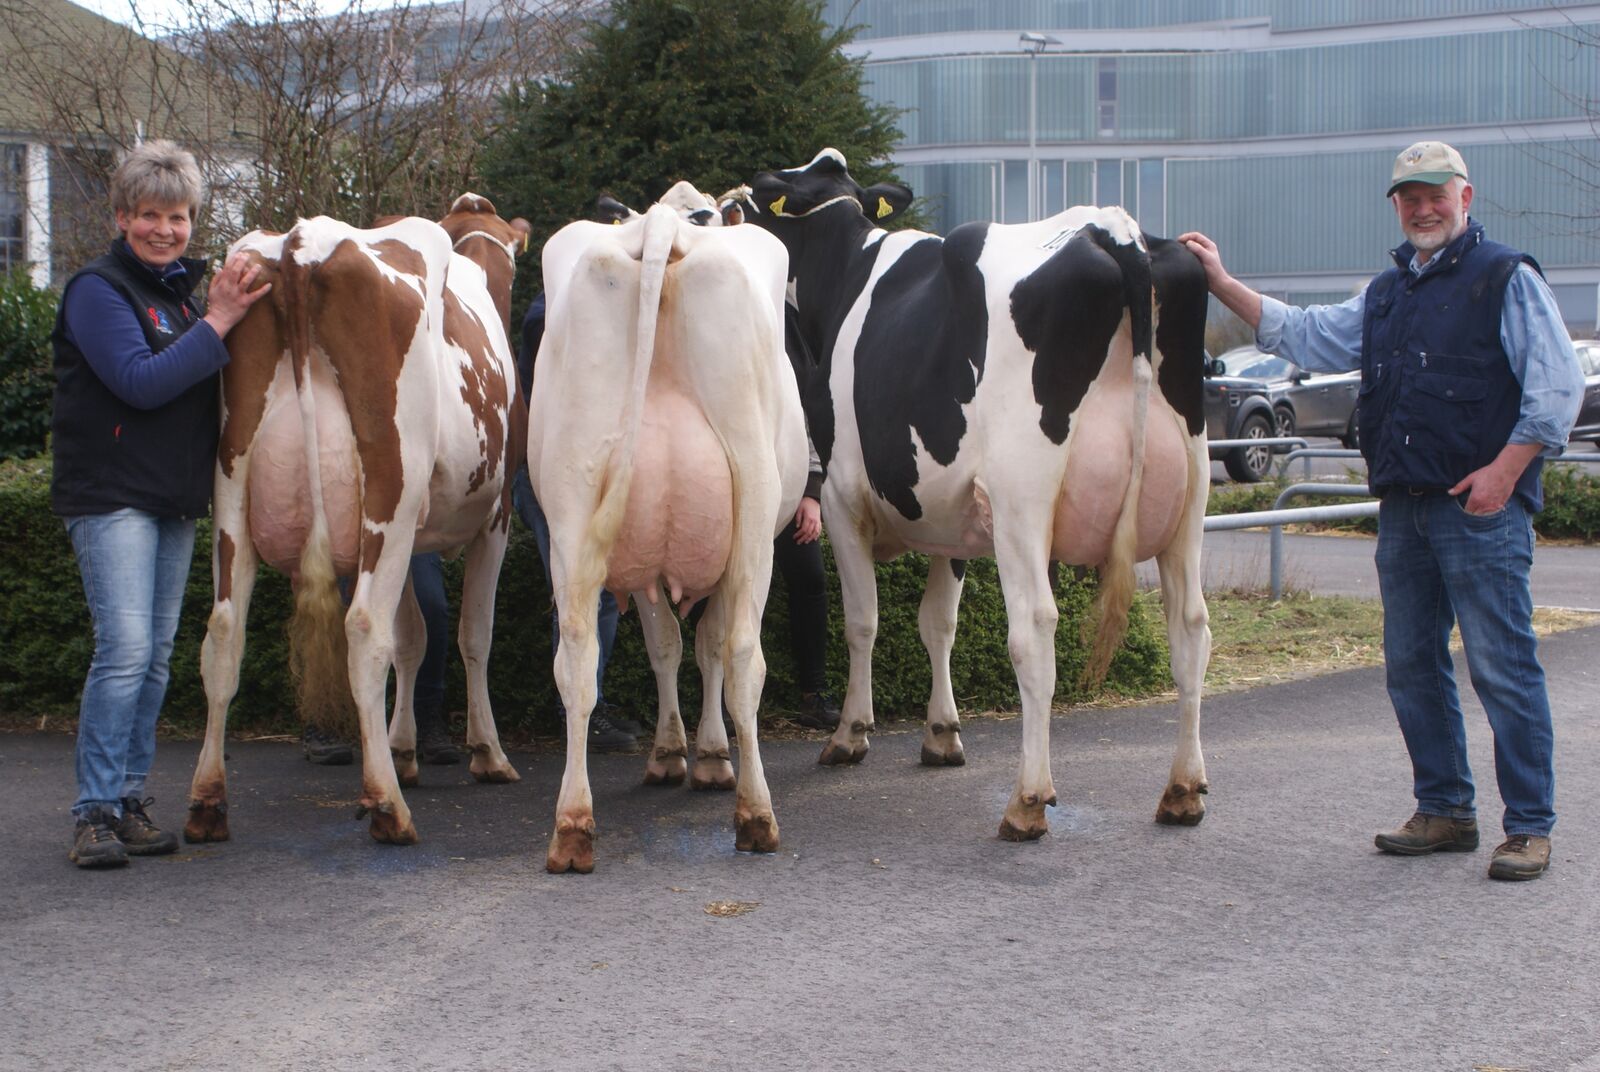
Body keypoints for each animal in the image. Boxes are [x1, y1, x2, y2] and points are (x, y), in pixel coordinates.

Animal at [186, 193, 524, 851]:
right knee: (365, 628)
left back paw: (208, 802)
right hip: (389, 488)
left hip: (231, 486)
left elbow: (415, 637)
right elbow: (472, 633)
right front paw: (487, 753)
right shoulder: (494, 518)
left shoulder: (413, 538)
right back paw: (388, 806)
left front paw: (404, 748)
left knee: (224, 632)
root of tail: (301, 244)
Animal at [531, 197, 806, 876]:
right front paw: (707, 757)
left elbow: (664, 646)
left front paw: (669, 752)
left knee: (576, 659)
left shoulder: (646, 568)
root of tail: (659, 225)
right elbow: (705, 646)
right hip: (754, 507)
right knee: (743, 653)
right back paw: (756, 815)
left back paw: (572, 826)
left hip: (572, 503)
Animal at [732, 151, 1209, 844]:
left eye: (774, 188)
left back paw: (1027, 800)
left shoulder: (846, 498)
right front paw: (942, 734)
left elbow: (862, 620)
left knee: (1035, 629)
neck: (848, 270)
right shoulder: (954, 519)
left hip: (1023, 500)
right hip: (1188, 501)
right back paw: (1183, 791)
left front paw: (851, 734)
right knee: (1191, 628)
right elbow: (940, 622)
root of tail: (1113, 229)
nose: (730, 204)